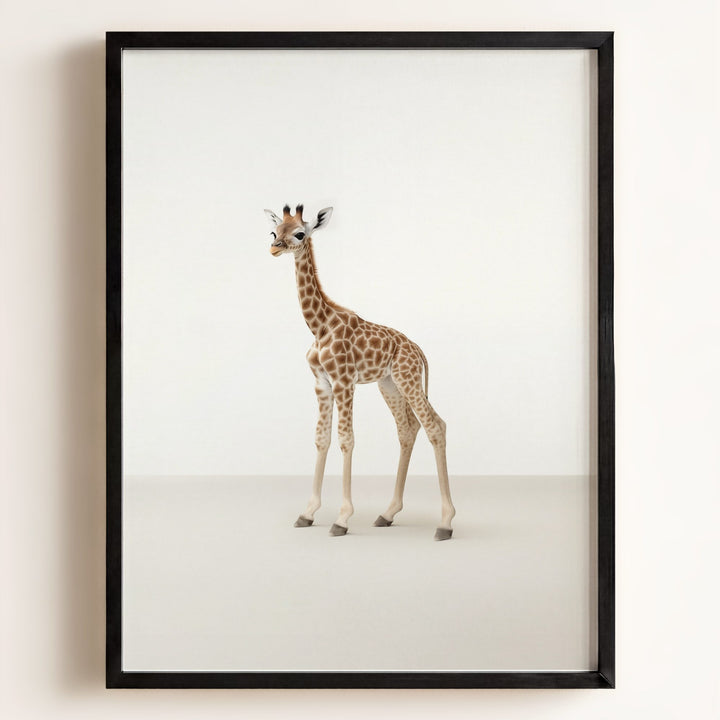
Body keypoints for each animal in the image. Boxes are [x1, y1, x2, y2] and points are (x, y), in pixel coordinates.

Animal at [265, 204, 455, 540]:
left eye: (299, 233)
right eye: (274, 231)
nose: (274, 247)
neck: (319, 326)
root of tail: (418, 349)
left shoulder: (344, 382)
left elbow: (346, 439)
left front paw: (342, 519)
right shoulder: (322, 384)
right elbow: (321, 438)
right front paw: (307, 513)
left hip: (407, 379)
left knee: (434, 426)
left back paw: (445, 524)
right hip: (390, 384)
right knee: (409, 429)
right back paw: (387, 513)